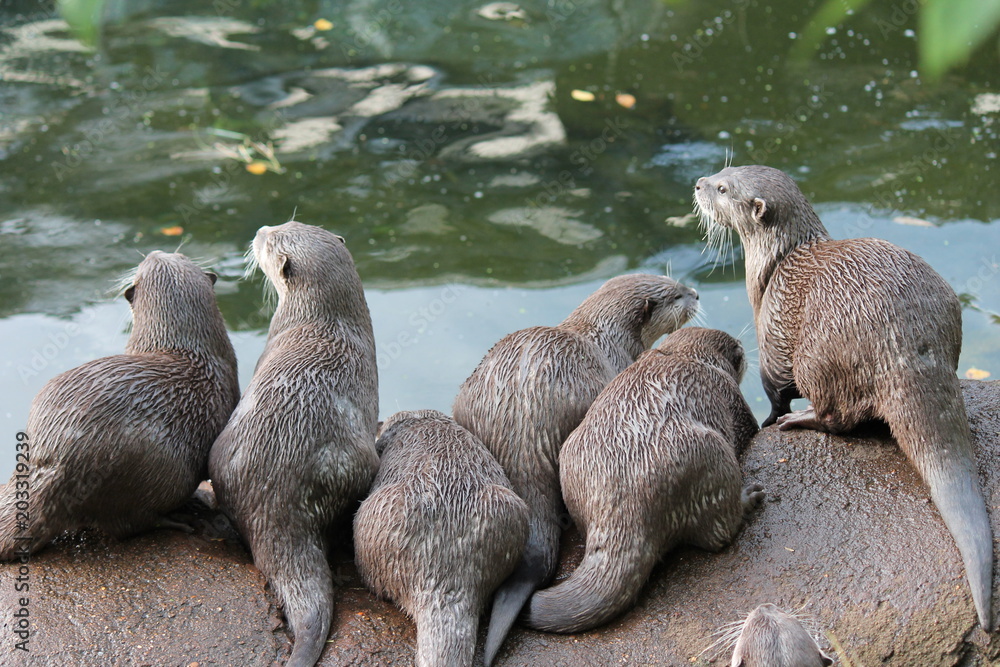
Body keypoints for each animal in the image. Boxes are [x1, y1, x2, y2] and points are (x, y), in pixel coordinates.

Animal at [0, 251, 238, 559]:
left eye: (179, 254)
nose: (153, 253)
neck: (182, 345)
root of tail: (55, 463)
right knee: (130, 523)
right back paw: (180, 518)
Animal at [524, 327, 763, 633]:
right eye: (740, 353)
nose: (744, 347)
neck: (686, 356)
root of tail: (623, 500)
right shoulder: (733, 399)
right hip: (711, 455)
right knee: (719, 532)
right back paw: (748, 498)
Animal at [694, 164, 993, 631]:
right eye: (723, 171)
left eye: (723, 189)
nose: (698, 184)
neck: (774, 267)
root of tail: (906, 346)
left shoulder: (771, 332)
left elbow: (774, 388)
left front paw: (770, 420)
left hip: (816, 355)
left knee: (839, 415)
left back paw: (799, 421)